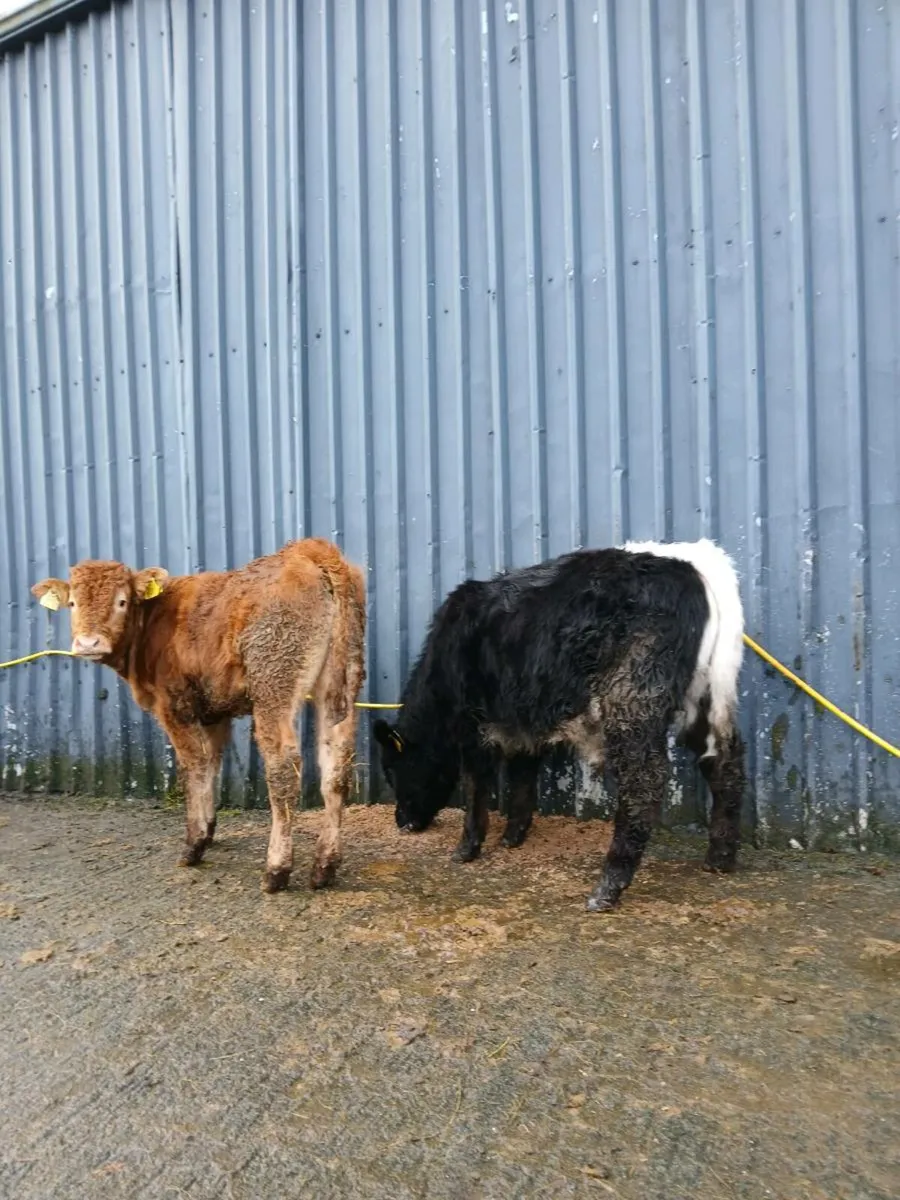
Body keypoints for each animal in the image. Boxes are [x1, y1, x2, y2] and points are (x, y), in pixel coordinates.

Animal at [32, 538, 366, 893]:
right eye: (72, 603)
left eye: (121, 601)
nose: (88, 643)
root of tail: (310, 550)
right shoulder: (214, 711)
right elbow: (212, 763)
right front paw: (209, 829)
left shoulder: (174, 705)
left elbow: (193, 766)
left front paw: (194, 845)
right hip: (341, 681)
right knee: (337, 767)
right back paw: (325, 866)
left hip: (273, 682)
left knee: (283, 769)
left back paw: (276, 870)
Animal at [374, 539, 746, 912]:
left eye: (392, 770)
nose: (402, 822)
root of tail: (694, 562)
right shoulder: (522, 722)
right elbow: (523, 776)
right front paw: (513, 836)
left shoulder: (472, 726)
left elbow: (476, 787)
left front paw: (466, 849)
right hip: (706, 698)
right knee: (724, 763)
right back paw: (720, 857)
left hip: (633, 698)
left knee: (645, 782)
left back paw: (607, 889)